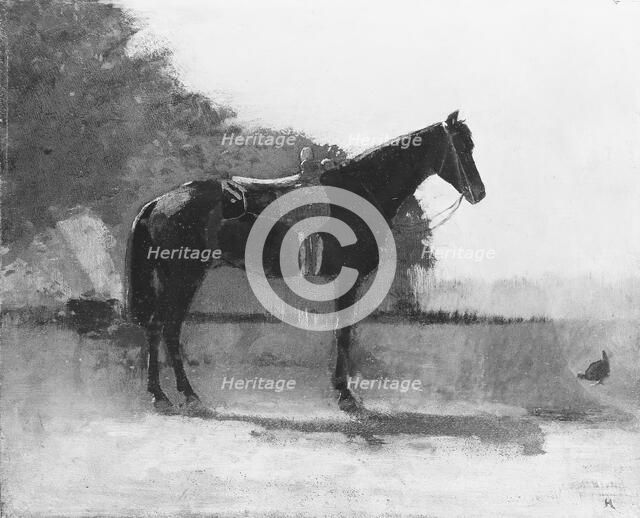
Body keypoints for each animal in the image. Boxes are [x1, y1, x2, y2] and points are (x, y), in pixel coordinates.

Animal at [125, 110, 486, 416]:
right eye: (462, 146)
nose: (479, 193)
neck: (360, 190)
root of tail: (158, 202)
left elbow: (343, 333)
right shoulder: (349, 281)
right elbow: (344, 334)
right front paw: (346, 396)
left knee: (162, 327)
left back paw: (171, 395)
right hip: (183, 276)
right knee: (165, 326)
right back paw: (175, 396)